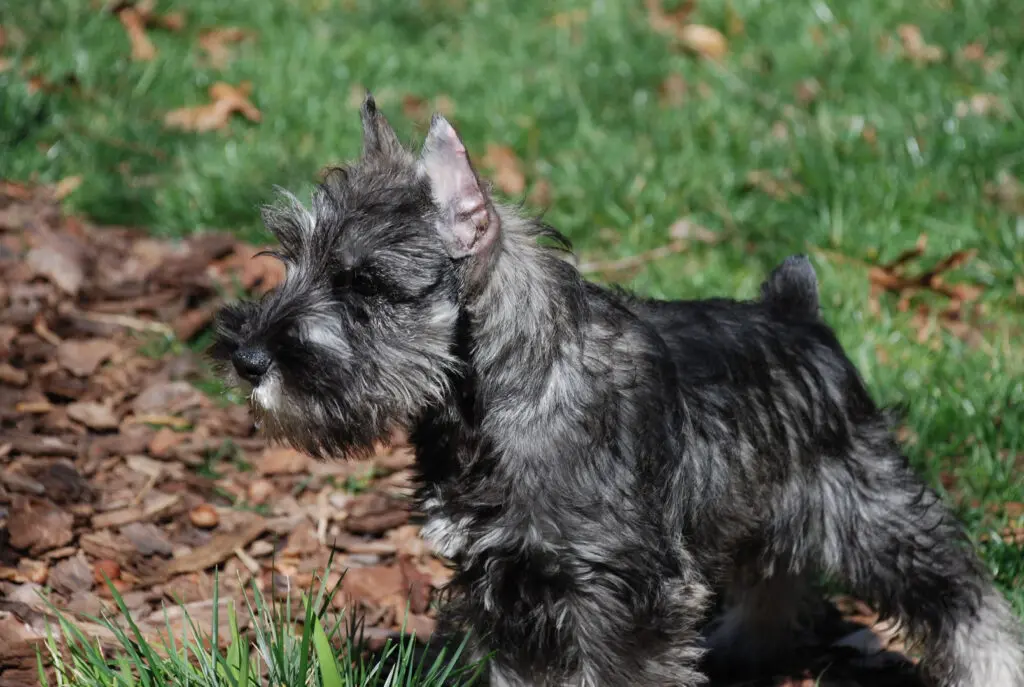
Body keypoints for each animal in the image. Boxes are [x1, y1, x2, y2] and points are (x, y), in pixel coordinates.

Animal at [209, 96, 1024, 687]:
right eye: (292, 257)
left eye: (364, 284)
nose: (246, 357)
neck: (491, 408)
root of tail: (799, 313)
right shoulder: (506, 585)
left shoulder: (621, 590)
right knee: (776, 578)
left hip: (868, 508)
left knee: (960, 595)